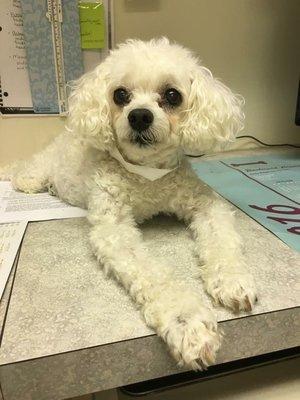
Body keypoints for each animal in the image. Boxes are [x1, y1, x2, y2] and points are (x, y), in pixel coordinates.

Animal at [3, 39, 256, 370]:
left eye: (172, 95)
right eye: (120, 94)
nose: (139, 116)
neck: (146, 176)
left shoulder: (206, 204)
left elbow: (223, 241)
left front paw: (232, 281)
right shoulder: (114, 229)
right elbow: (154, 275)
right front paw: (188, 324)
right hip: (41, 167)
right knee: (26, 171)